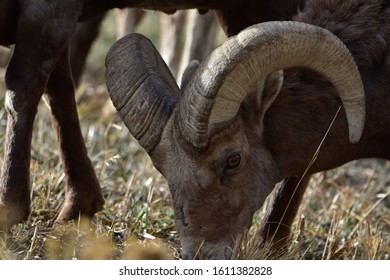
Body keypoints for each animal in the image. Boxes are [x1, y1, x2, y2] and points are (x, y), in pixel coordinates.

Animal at [0, 0, 304, 230]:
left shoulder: (50, 11)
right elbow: (58, 89)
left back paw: (271, 238)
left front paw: (10, 206)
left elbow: (24, 88)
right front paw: (78, 204)